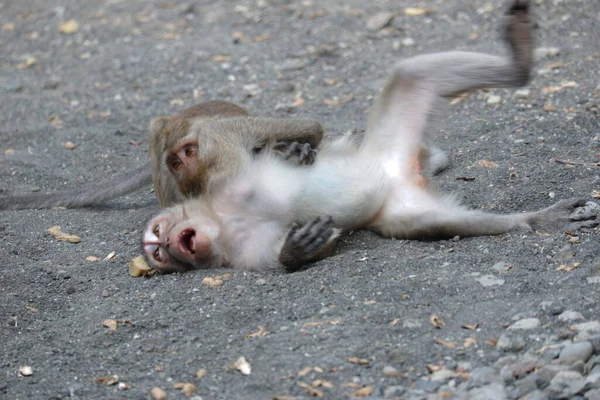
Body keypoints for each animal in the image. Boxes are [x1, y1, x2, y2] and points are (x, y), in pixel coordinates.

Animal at [143, 0, 596, 274]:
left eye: (157, 236)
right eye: (158, 253)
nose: (163, 245)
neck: (223, 218)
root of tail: (399, 170)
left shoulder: (222, 168)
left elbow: (244, 133)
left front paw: (292, 148)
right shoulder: (244, 256)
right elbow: (287, 254)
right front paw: (297, 249)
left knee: (411, 73)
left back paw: (520, 64)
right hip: (399, 203)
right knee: (430, 223)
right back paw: (529, 220)